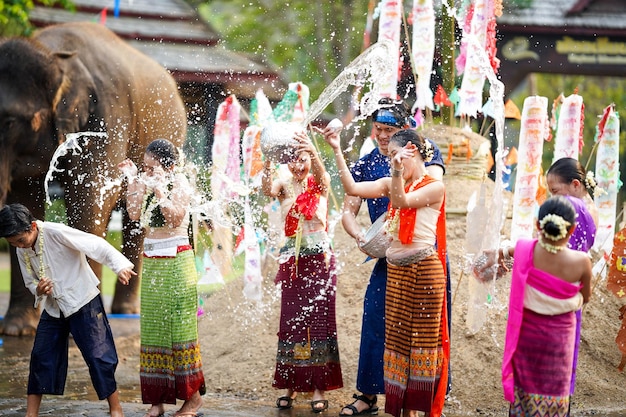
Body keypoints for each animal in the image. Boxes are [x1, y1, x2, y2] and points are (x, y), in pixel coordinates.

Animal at [0, 22, 188, 334]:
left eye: (9, 122)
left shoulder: (107, 116)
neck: (54, 52)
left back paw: (126, 311)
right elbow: (24, 196)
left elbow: (89, 197)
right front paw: (16, 329)